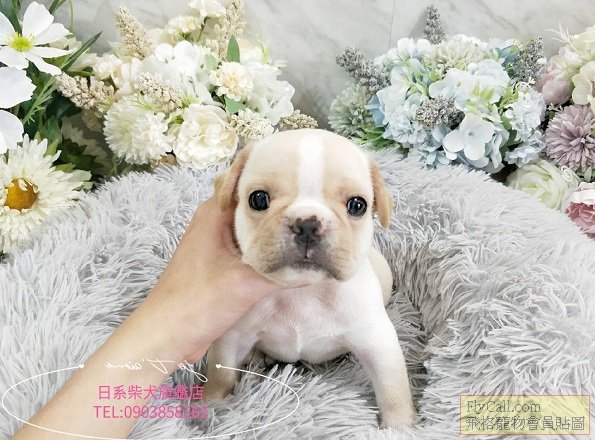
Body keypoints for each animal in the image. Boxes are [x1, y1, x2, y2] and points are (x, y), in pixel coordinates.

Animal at [202, 128, 417, 429]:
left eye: (357, 205)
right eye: (258, 199)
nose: (307, 223)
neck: (301, 292)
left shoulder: (378, 343)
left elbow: (393, 387)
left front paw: (399, 426)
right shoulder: (231, 336)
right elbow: (220, 374)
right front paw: (211, 406)